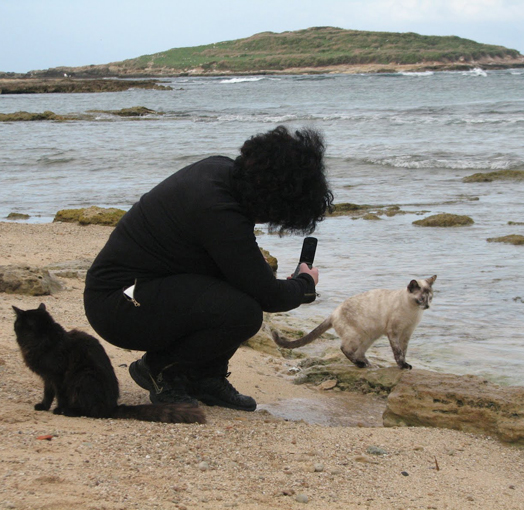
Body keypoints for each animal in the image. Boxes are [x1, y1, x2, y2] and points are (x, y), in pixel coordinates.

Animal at [11, 304, 205, 424]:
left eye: (17, 324)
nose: (15, 327)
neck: (43, 338)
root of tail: (112, 407)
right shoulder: (47, 378)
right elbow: (48, 394)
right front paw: (43, 406)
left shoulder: (57, 376)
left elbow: (60, 395)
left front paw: (58, 409)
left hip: (84, 376)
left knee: (91, 412)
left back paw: (70, 411)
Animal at [272, 276, 436, 368]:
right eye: (421, 299)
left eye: (430, 298)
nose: (427, 306)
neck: (413, 312)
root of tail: (333, 313)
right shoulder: (394, 332)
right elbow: (398, 353)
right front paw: (402, 366)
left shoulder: (406, 334)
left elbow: (404, 351)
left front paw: (404, 364)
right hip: (357, 336)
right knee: (345, 348)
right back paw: (361, 364)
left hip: (369, 337)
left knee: (359, 352)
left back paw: (368, 364)